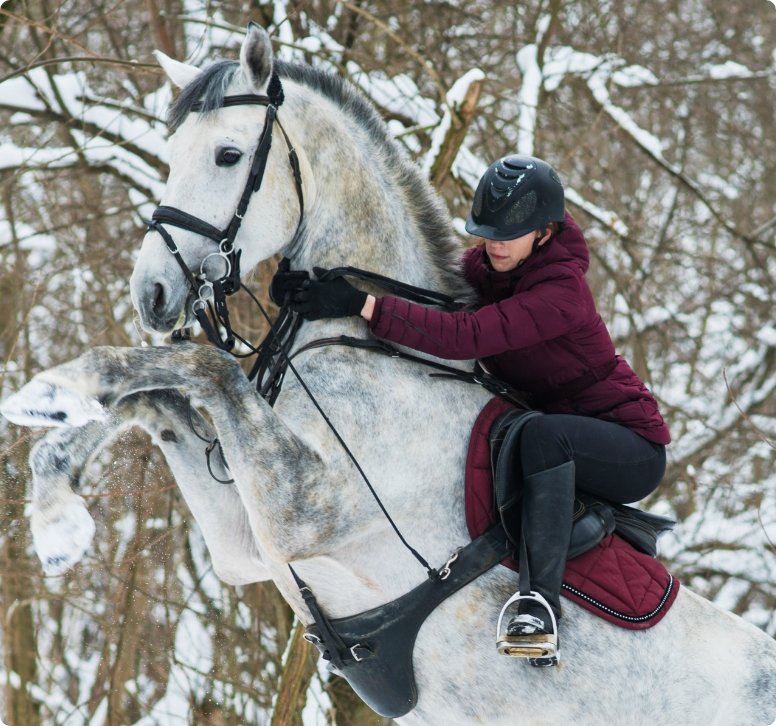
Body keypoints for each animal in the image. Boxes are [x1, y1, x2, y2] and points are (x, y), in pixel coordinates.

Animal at [1, 24, 776, 726]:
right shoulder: (248, 542)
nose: (153, 294)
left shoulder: (303, 509)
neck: (362, 351)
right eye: (169, 156)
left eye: (227, 155)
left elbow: (203, 365)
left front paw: (55, 439)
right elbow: (156, 393)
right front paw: (55, 469)